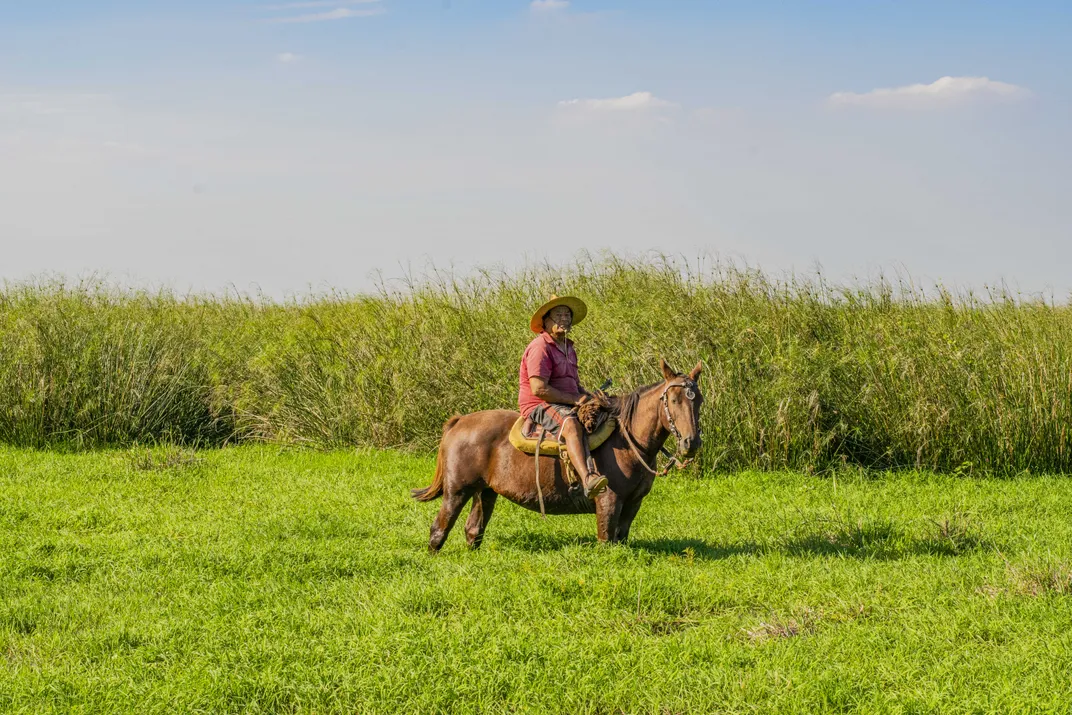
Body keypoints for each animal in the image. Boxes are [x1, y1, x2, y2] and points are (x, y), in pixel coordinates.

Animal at [411, 358, 704, 552]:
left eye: (698, 400)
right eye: (674, 400)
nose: (691, 443)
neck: (628, 440)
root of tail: (459, 422)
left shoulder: (633, 503)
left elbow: (621, 537)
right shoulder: (609, 501)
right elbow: (607, 541)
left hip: (485, 491)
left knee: (473, 531)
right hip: (457, 491)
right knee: (439, 530)